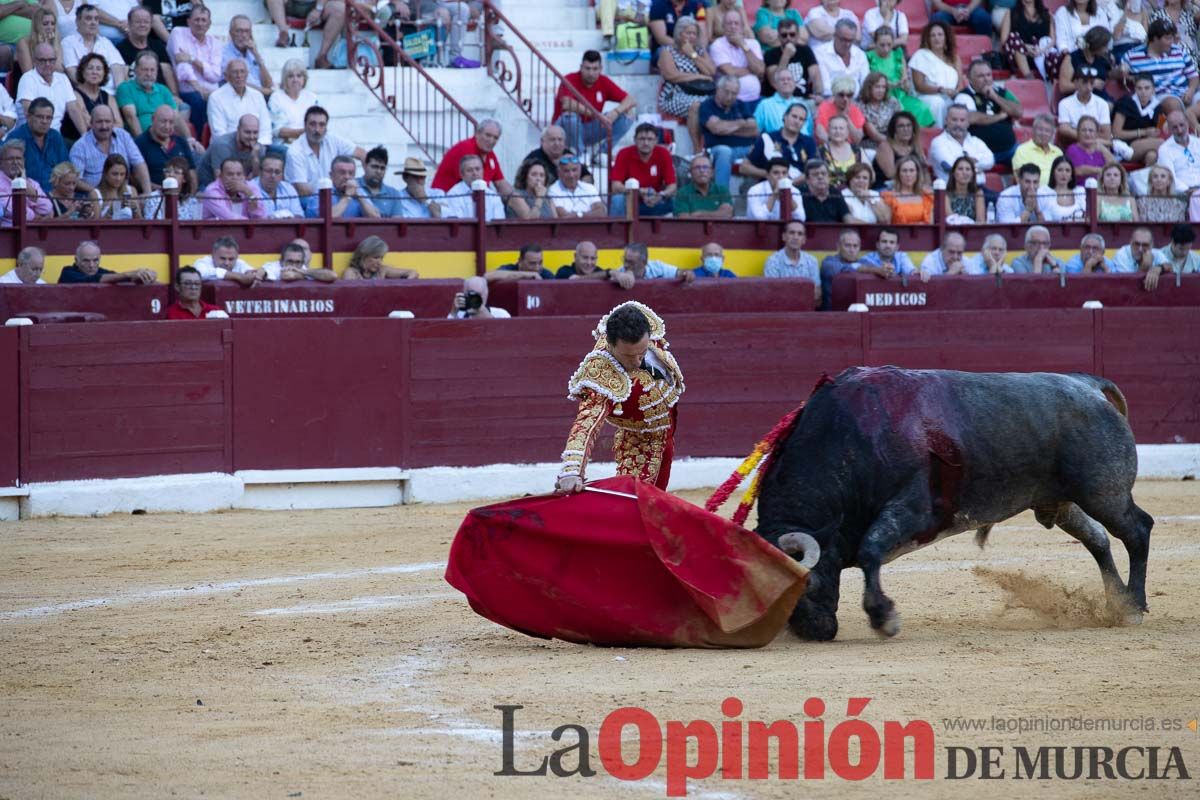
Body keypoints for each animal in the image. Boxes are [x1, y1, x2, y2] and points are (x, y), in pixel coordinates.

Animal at [758, 367, 1152, 642]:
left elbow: (870, 550)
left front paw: (884, 618)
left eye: (806, 584)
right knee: (1098, 539)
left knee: (1137, 529)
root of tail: (1086, 385)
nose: (814, 632)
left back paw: (1133, 606)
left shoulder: (914, 511)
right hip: (1063, 501)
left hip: (1105, 493)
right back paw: (1116, 604)